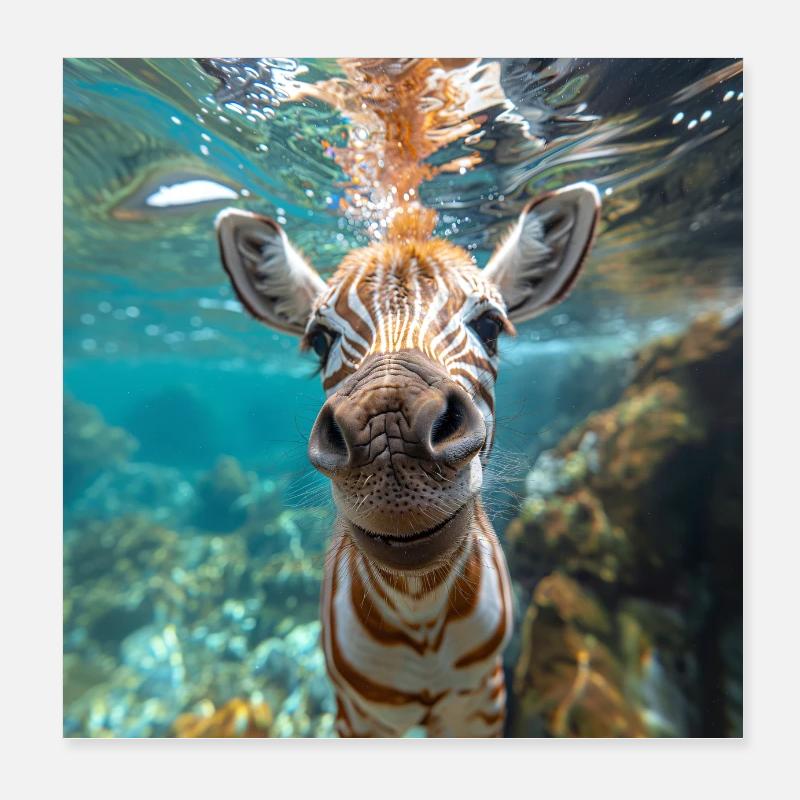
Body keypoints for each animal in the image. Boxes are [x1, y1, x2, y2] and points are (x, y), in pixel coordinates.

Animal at [215, 183, 601, 736]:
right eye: (320, 340)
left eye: (490, 326)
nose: (388, 431)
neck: (421, 610)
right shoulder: (358, 714)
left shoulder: (481, 699)